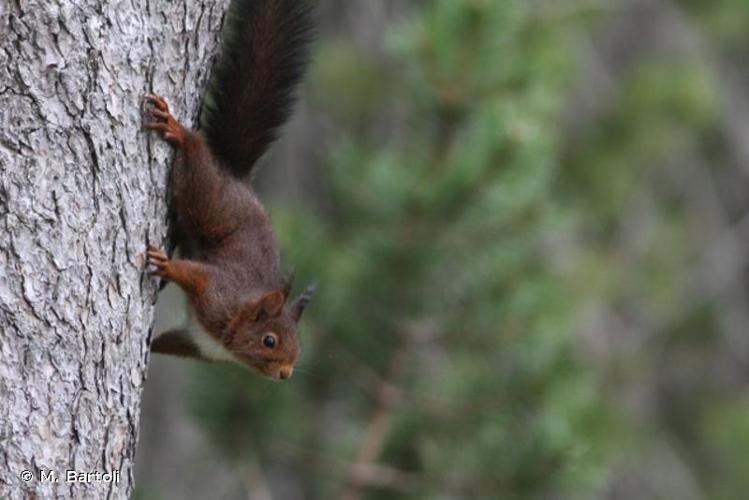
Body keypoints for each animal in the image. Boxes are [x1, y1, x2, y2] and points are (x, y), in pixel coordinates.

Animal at [145, 0, 314, 378]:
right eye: (269, 341)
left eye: (298, 346)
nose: (285, 374)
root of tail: (235, 174)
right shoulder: (217, 292)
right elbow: (196, 275)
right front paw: (166, 267)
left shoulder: (194, 342)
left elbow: (168, 342)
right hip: (208, 199)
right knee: (197, 160)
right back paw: (180, 132)